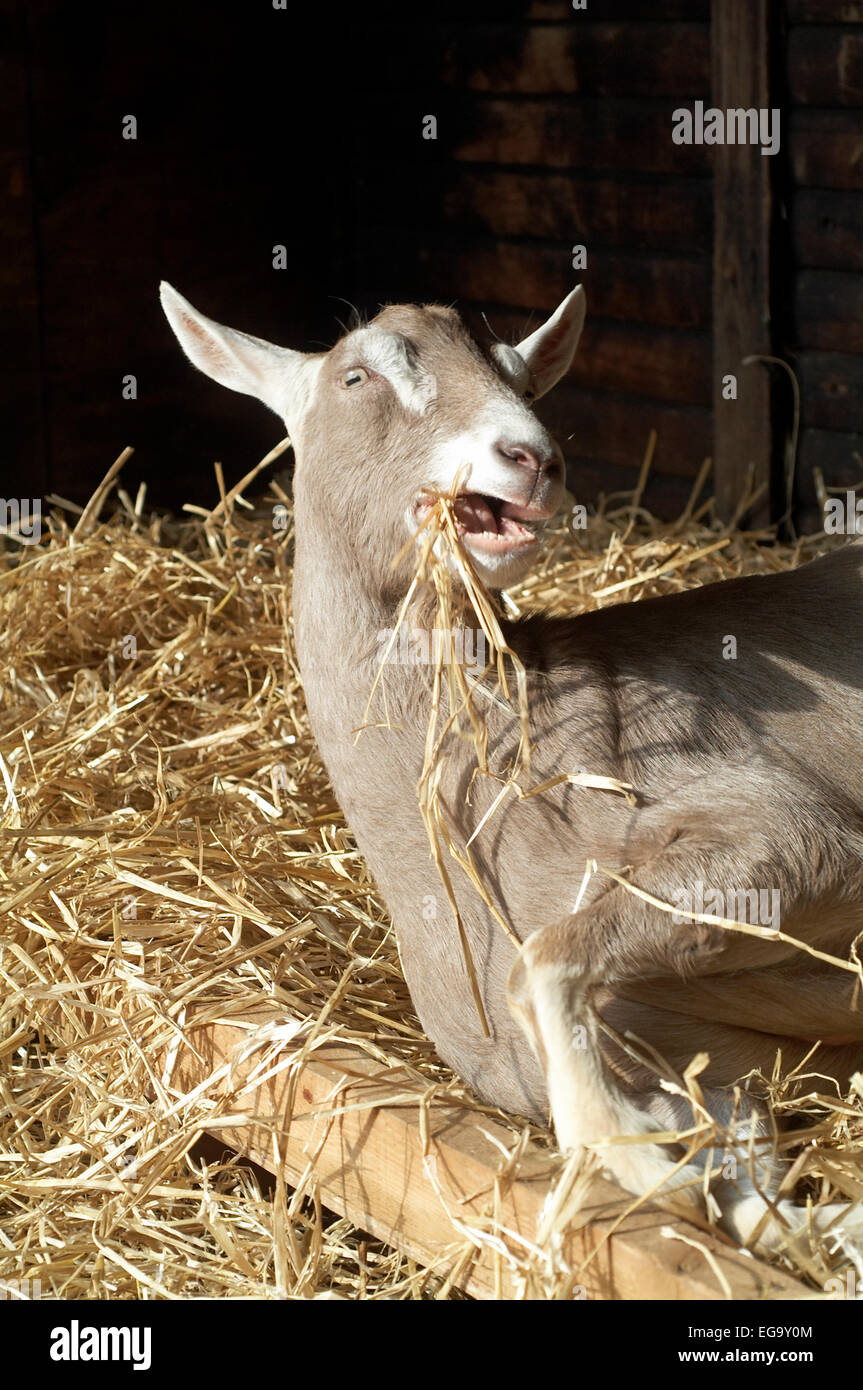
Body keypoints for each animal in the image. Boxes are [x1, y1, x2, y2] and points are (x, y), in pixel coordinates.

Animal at [159, 282, 861, 1262]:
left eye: (518, 375)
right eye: (355, 376)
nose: (531, 454)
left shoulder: (790, 831)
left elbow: (542, 956)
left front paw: (631, 1160)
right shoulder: (711, 1063)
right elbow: (754, 1193)